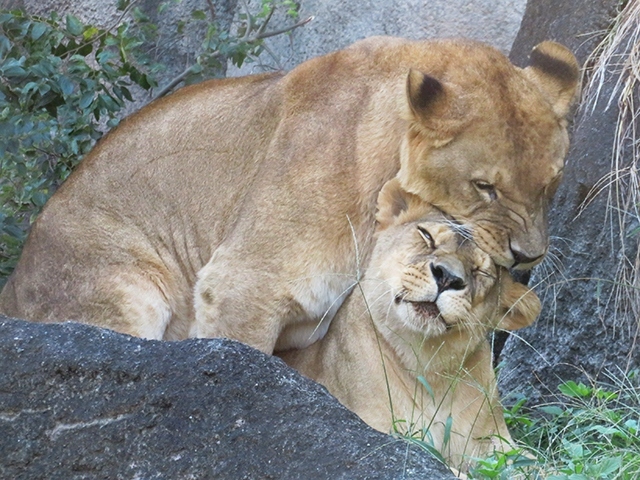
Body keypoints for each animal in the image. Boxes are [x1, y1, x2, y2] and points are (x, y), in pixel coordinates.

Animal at [278, 179, 540, 468]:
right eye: (426, 236)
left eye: (480, 271)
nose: (448, 277)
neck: (429, 369)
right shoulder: (377, 428)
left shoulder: (496, 441)